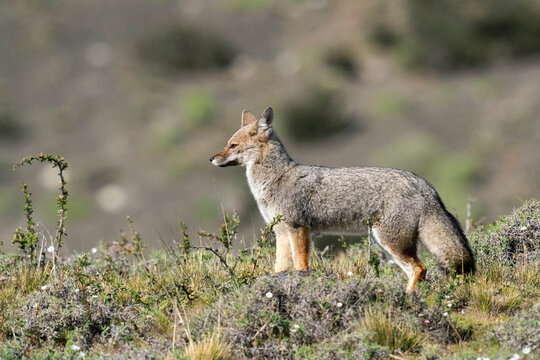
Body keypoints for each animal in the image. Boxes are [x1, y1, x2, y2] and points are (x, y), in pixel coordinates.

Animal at [209, 107, 474, 292]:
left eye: (232, 145)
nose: (211, 158)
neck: (275, 179)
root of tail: (424, 184)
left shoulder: (298, 228)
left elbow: (300, 266)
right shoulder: (281, 232)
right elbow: (280, 267)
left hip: (390, 242)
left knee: (420, 268)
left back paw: (407, 298)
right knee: (417, 270)